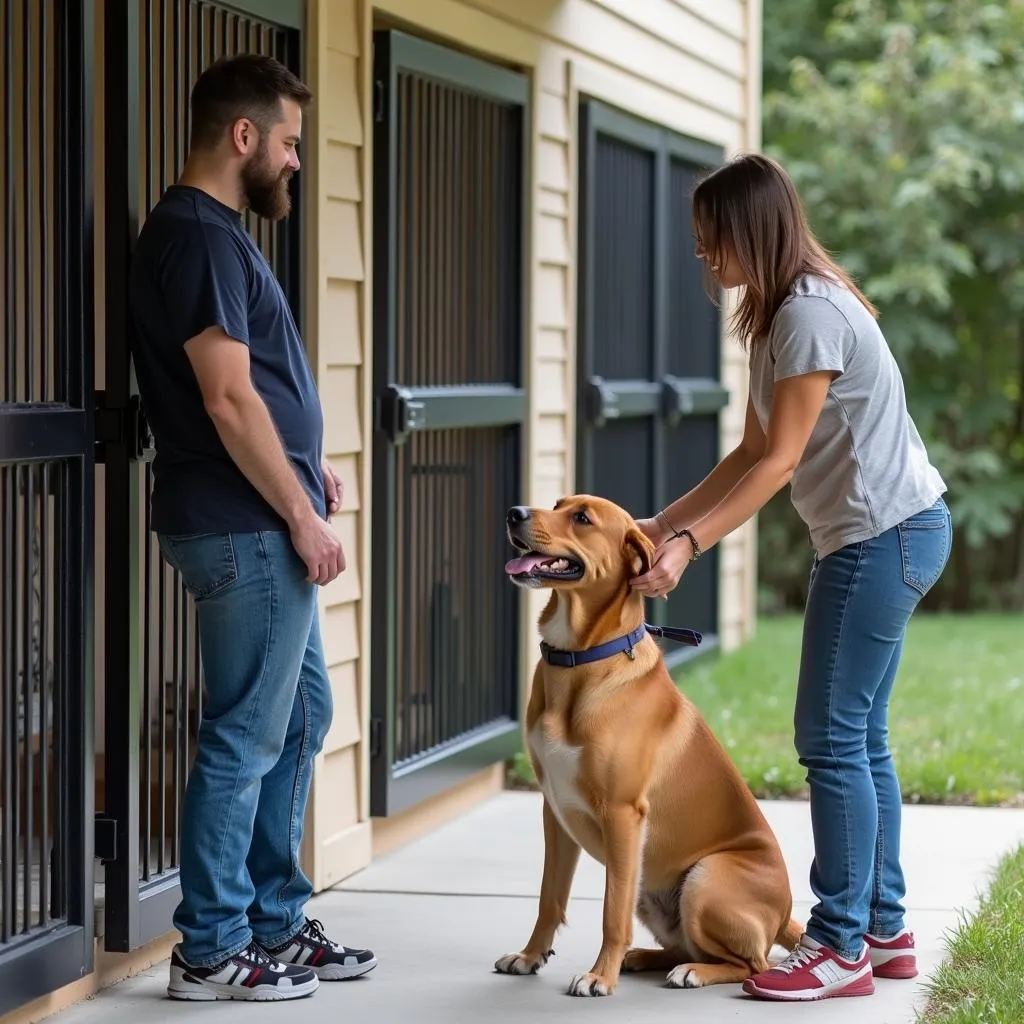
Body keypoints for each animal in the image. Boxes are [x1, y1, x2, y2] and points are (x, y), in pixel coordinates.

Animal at [493, 493, 798, 991]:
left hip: (704, 877)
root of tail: (784, 915)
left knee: (753, 964)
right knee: (687, 945)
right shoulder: (554, 811)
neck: (579, 659)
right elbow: (549, 898)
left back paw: (691, 971)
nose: (514, 513)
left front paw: (600, 976)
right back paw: (644, 958)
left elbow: (610, 912)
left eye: (582, 518)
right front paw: (531, 955)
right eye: (557, 503)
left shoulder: (622, 815)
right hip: (649, 881)